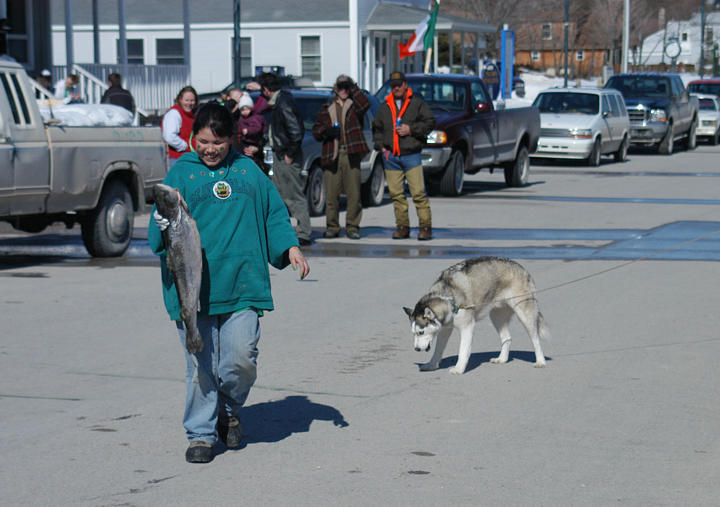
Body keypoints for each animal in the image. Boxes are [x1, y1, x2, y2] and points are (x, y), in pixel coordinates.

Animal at [402, 258, 548, 374]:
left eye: (421, 332)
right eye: (414, 333)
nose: (416, 349)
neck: (448, 298)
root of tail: (521, 268)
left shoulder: (467, 327)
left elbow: (463, 351)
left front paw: (459, 368)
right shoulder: (445, 329)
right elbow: (438, 350)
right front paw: (431, 365)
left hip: (524, 314)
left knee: (535, 339)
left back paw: (540, 361)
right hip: (496, 317)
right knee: (507, 338)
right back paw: (502, 359)